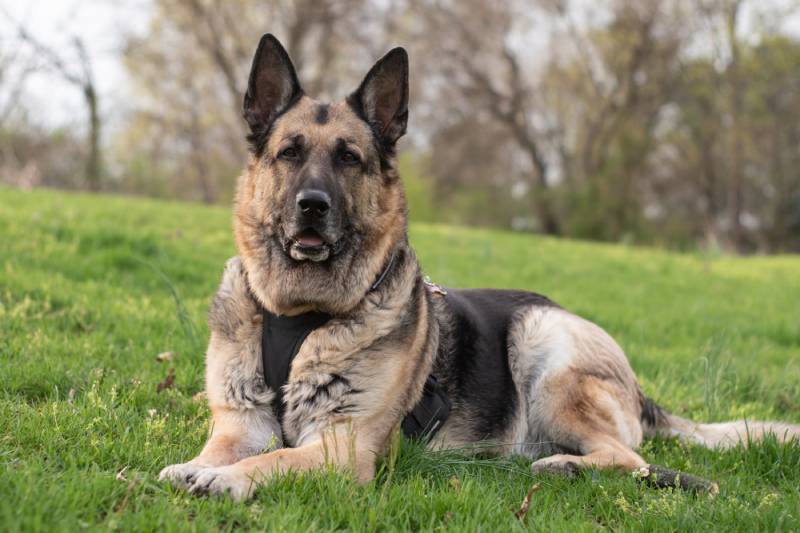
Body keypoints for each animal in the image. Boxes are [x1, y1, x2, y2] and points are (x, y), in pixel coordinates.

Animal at [159, 33, 796, 498]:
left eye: (349, 159)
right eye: (288, 153)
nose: (312, 206)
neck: (299, 313)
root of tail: (638, 390)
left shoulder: (344, 448)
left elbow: (276, 459)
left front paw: (223, 479)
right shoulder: (240, 423)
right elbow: (222, 448)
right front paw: (197, 465)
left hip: (547, 351)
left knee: (628, 457)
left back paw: (566, 466)